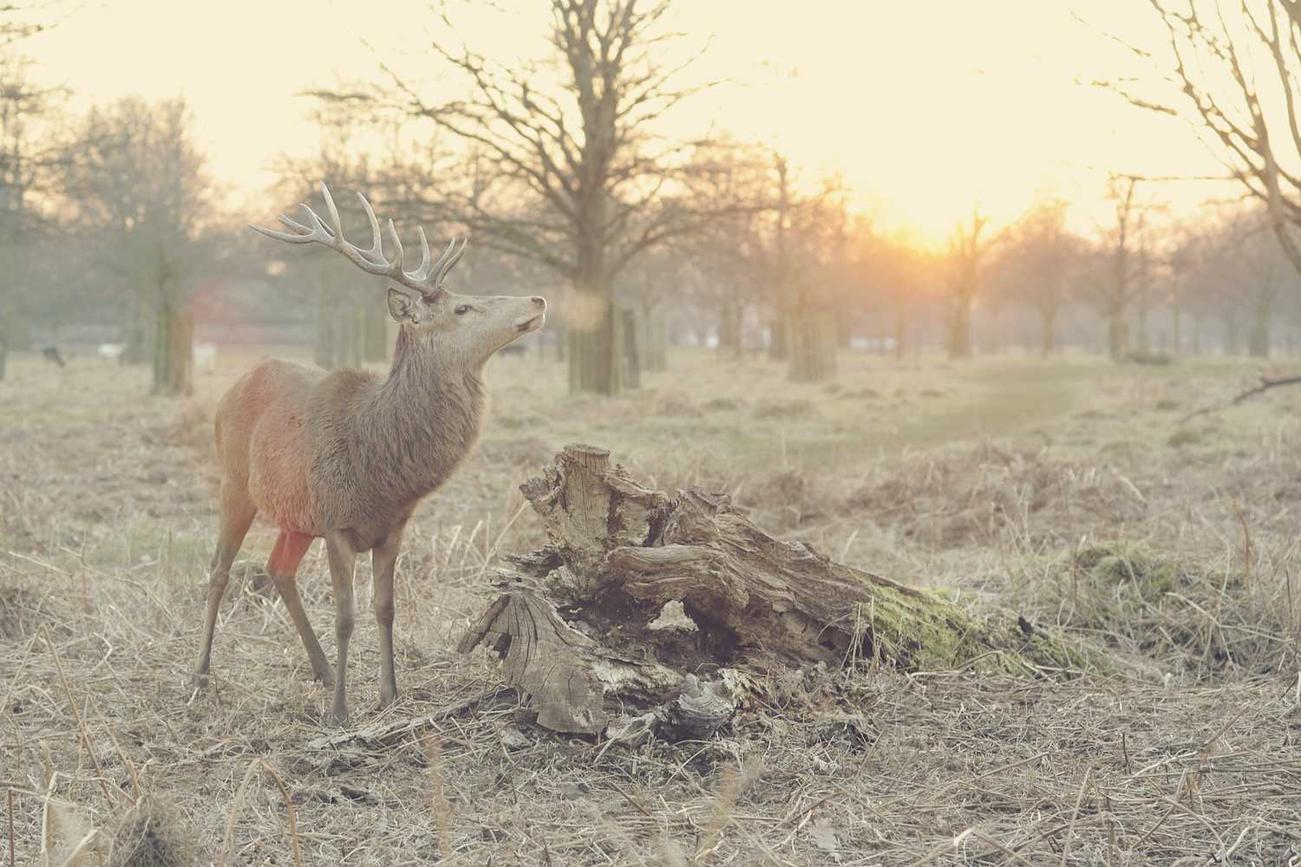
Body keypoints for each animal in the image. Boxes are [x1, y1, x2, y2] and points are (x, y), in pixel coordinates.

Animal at [189, 182, 546, 723]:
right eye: (462, 308)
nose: (538, 297)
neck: (380, 465)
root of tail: (237, 382)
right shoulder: (337, 522)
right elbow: (345, 615)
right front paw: (341, 711)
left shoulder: (392, 526)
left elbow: (385, 608)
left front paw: (389, 694)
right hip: (234, 483)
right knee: (218, 570)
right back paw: (201, 676)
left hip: (296, 515)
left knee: (278, 569)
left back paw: (321, 669)